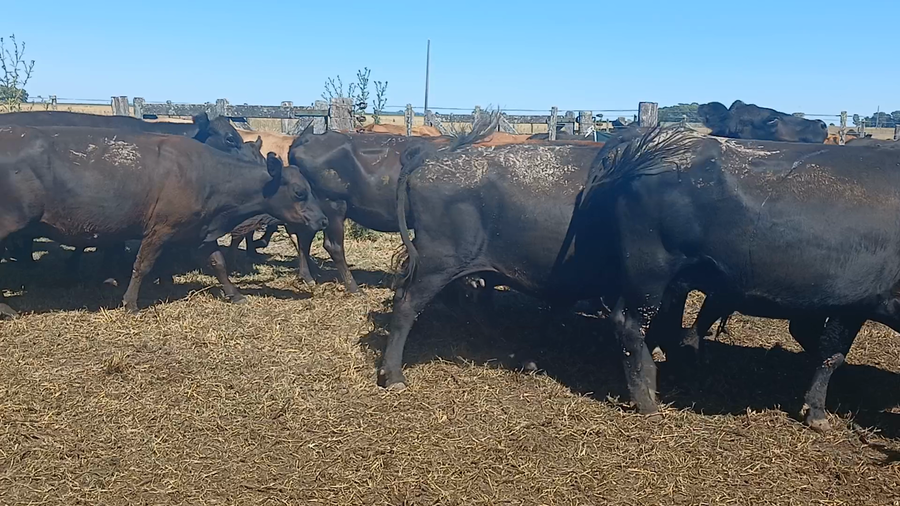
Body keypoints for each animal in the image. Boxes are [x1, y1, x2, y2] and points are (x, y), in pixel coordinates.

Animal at [0, 126, 327, 317]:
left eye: (311, 189)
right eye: (299, 192)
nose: (323, 219)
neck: (207, 174)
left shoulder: (201, 232)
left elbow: (219, 263)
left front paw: (234, 294)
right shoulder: (159, 230)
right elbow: (142, 265)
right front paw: (131, 304)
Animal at [576, 127, 900, 431]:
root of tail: (653, 140)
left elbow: (827, 351)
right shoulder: (857, 302)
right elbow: (831, 356)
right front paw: (818, 411)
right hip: (649, 273)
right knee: (631, 326)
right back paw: (646, 400)